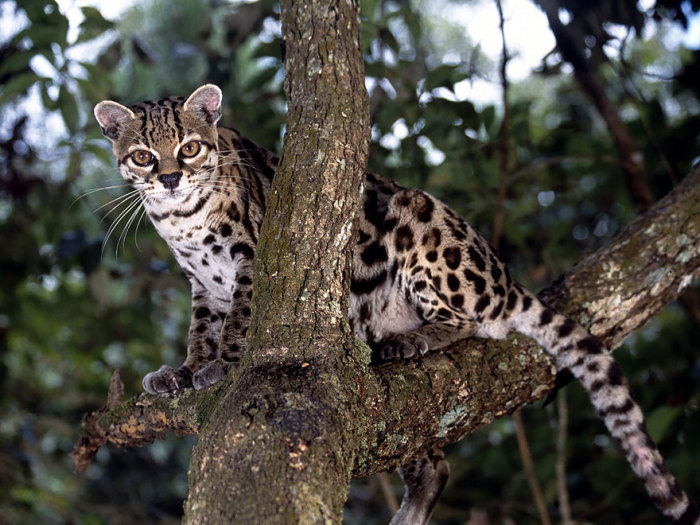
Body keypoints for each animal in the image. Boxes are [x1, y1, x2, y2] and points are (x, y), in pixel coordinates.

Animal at [94, 85, 700, 524]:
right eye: (143, 156)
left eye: (190, 147)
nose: (171, 178)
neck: (181, 218)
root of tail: (504, 278)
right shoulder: (202, 282)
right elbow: (201, 327)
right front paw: (186, 370)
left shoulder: (253, 258)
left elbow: (241, 318)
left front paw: (223, 365)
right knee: (433, 460)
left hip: (422, 223)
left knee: (471, 323)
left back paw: (414, 338)